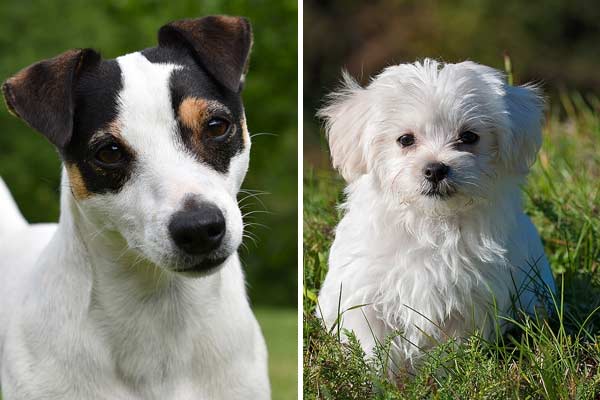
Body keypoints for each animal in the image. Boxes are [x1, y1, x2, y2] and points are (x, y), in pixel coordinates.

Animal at [318, 58, 556, 372]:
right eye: (405, 140)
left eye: (469, 137)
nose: (435, 169)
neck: (431, 222)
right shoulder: (365, 296)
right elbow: (372, 347)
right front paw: (377, 378)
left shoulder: (468, 303)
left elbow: (449, 351)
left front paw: (444, 375)